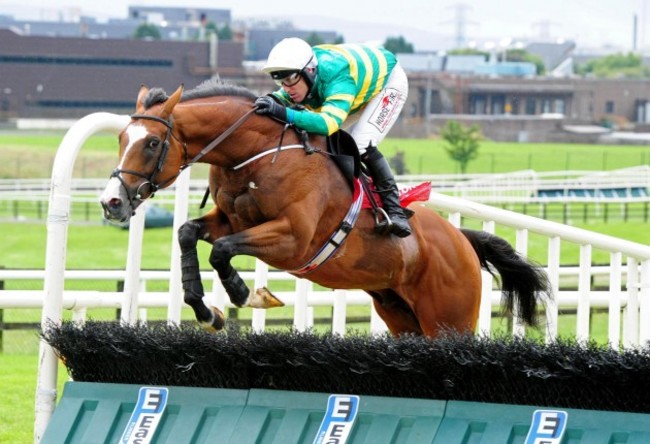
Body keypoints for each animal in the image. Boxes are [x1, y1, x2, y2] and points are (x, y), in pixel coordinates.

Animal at [98, 79, 548, 336]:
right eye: (120, 139)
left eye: (152, 142)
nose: (111, 202)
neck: (256, 157)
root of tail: (463, 242)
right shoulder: (228, 220)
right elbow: (188, 232)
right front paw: (207, 311)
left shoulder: (293, 240)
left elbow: (222, 250)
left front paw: (248, 294)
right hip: (401, 316)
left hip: (449, 320)